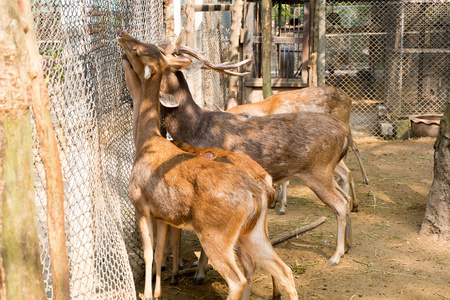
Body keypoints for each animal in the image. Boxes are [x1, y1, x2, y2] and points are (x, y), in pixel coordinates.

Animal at [118, 32, 298, 300]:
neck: (145, 142)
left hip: (215, 233)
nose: (123, 36)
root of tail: (260, 191)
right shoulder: (162, 214)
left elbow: (150, 252)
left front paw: (149, 293)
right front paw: (160, 289)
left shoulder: (140, 203)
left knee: (239, 277)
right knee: (283, 269)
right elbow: (160, 251)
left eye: (139, 52)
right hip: (252, 232)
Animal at [225, 86, 370, 213]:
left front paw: (280, 204)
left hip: (343, 122)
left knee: (352, 151)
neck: (268, 109)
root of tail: (349, 99)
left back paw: (362, 187)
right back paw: (354, 202)